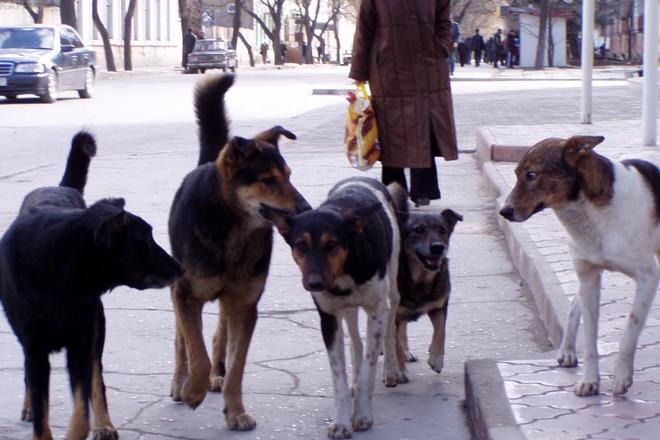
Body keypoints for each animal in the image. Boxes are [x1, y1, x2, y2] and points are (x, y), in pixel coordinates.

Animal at [0, 131, 183, 440]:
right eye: (146, 241)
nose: (181, 268)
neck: (63, 273)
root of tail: (59, 187)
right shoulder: (35, 348)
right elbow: (40, 410)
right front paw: (37, 416)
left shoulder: (81, 344)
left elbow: (83, 411)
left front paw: (82, 429)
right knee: (29, 376)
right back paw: (28, 406)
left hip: (96, 329)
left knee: (97, 380)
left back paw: (104, 424)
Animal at [166, 75, 308, 430]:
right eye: (267, 180)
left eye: (289, 177)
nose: (306, 210)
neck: (232, 226)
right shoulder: (187, 295)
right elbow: (196, 350)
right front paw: (193, 390)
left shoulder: (245, 305)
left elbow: (237, 365)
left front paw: (235, 410)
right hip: (179, 289)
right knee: (182, 340)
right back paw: (181, 381)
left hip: (230, 298)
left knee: (220, 334)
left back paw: (216, 376)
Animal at [260, 177, 404, 438]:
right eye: (300, 245)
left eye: (332, 244)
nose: (314, 283)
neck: (344, 271)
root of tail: (362, 178)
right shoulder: (328, 318)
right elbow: (340, 379)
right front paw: (342, 421)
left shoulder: (377, 310)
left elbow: (369, 367)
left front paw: (363, 415)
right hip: (347, 309)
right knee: (356, 341)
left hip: (392, 289)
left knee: (389, 329)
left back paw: (391, 370)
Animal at [390, 186, 462, 378]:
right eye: (418, 230)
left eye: (443, 229)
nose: (438, 247)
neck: (420, 279)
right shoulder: (393, 313)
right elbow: (394, 343)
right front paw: (398, 370)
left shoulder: (440, 306)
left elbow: (441, 331)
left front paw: (436, 359)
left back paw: (407, 353)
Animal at [502, 134, 656, 396]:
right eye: (516, 174)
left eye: (531, 175)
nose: (504, 211)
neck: (588, 213)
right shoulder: (589, 277)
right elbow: (590, 339)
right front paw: (590, 380)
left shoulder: (649, 277)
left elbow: (629, 331)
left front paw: (622, 376)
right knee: (575, 304)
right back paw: (567, 351)